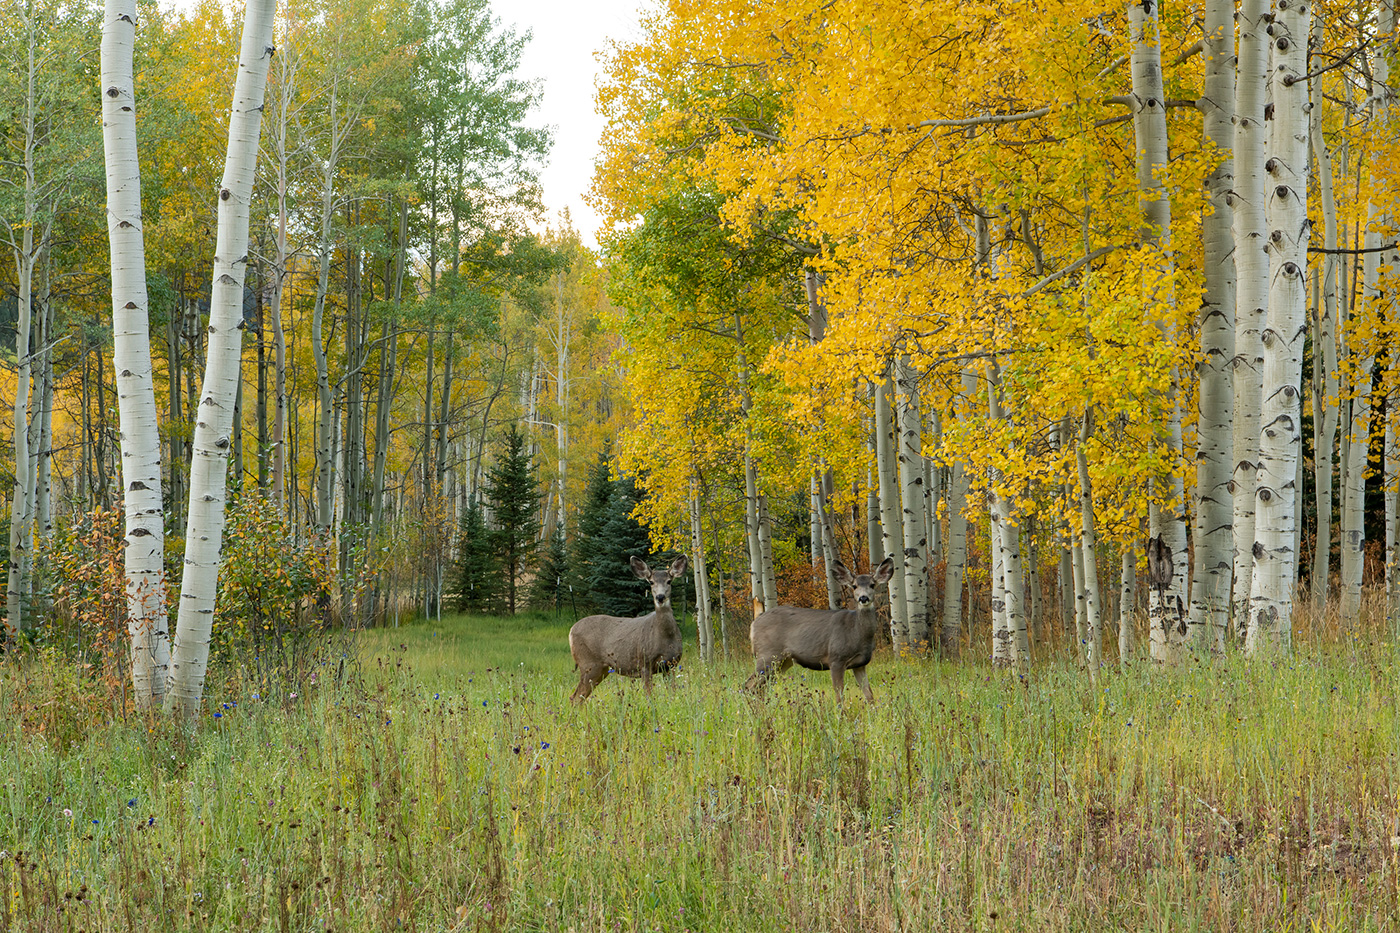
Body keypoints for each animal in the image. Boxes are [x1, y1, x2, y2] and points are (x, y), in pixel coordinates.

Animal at [562, 551, 683, 697]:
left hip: (601, 669)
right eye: (651, 582)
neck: (665, 637)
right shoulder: (644, 662)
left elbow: (673, 693)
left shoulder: (671, 664)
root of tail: (571, 631)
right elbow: (649, 696)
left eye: (669, 581)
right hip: (588, 664)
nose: (660, 597)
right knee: (575, 697)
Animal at [744, 551, 896, 697]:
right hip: (767, 655)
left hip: (783, 661)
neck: (857, 632)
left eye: (872, 585)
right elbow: (839, 695)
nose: (863, 598)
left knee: (761, 688)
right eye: (854, 586)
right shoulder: (836, 659)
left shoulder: (860, 664)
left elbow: (869, 695)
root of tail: (753, 624)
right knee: (748, 686)